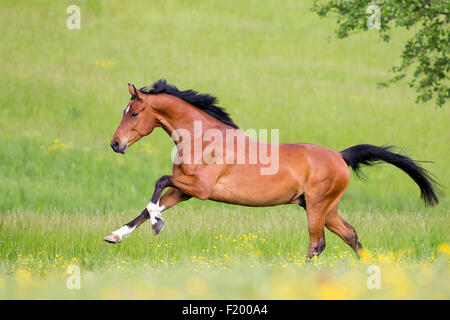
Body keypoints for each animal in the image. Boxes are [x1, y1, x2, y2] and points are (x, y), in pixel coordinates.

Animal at [103, 80, 442, 260]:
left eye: (133, 113)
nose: (115, 144)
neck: (202, 137)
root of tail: (340, 156)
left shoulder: (200, 188)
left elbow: (159, 182)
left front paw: (157, 225)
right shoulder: (185, 191)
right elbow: (149, 206)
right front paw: (115, 236)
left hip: (317, 207)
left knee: (318, 243)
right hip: (326, 208)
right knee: (351, 235)